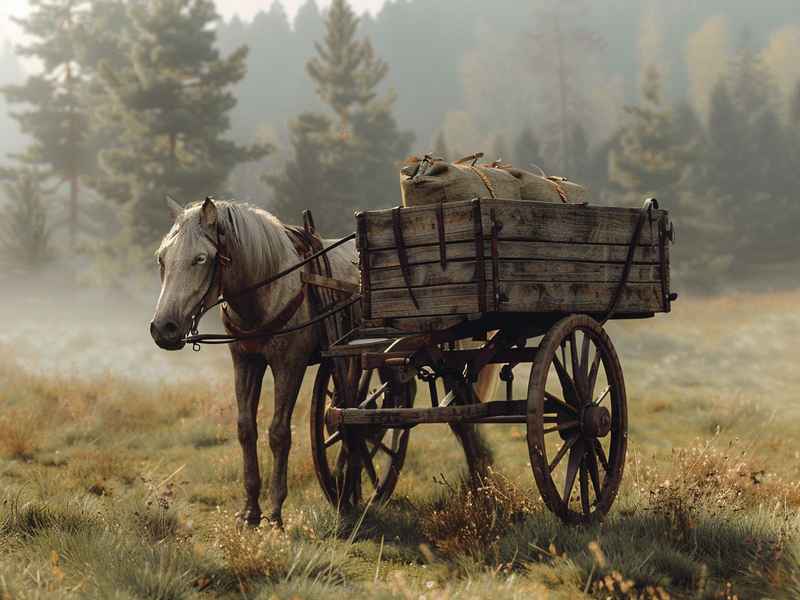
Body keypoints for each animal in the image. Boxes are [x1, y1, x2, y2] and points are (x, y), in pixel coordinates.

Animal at [150, 196, 496, 527]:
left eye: (200, 258)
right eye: (162, 258)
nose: (163, 328)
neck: (271, 286)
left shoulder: (289, 363)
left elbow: (279, 433)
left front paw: (275, 511)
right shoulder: (245, 360)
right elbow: (246, 429)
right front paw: (250, 511)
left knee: (457, 412)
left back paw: (479, 479)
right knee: (392, 402)